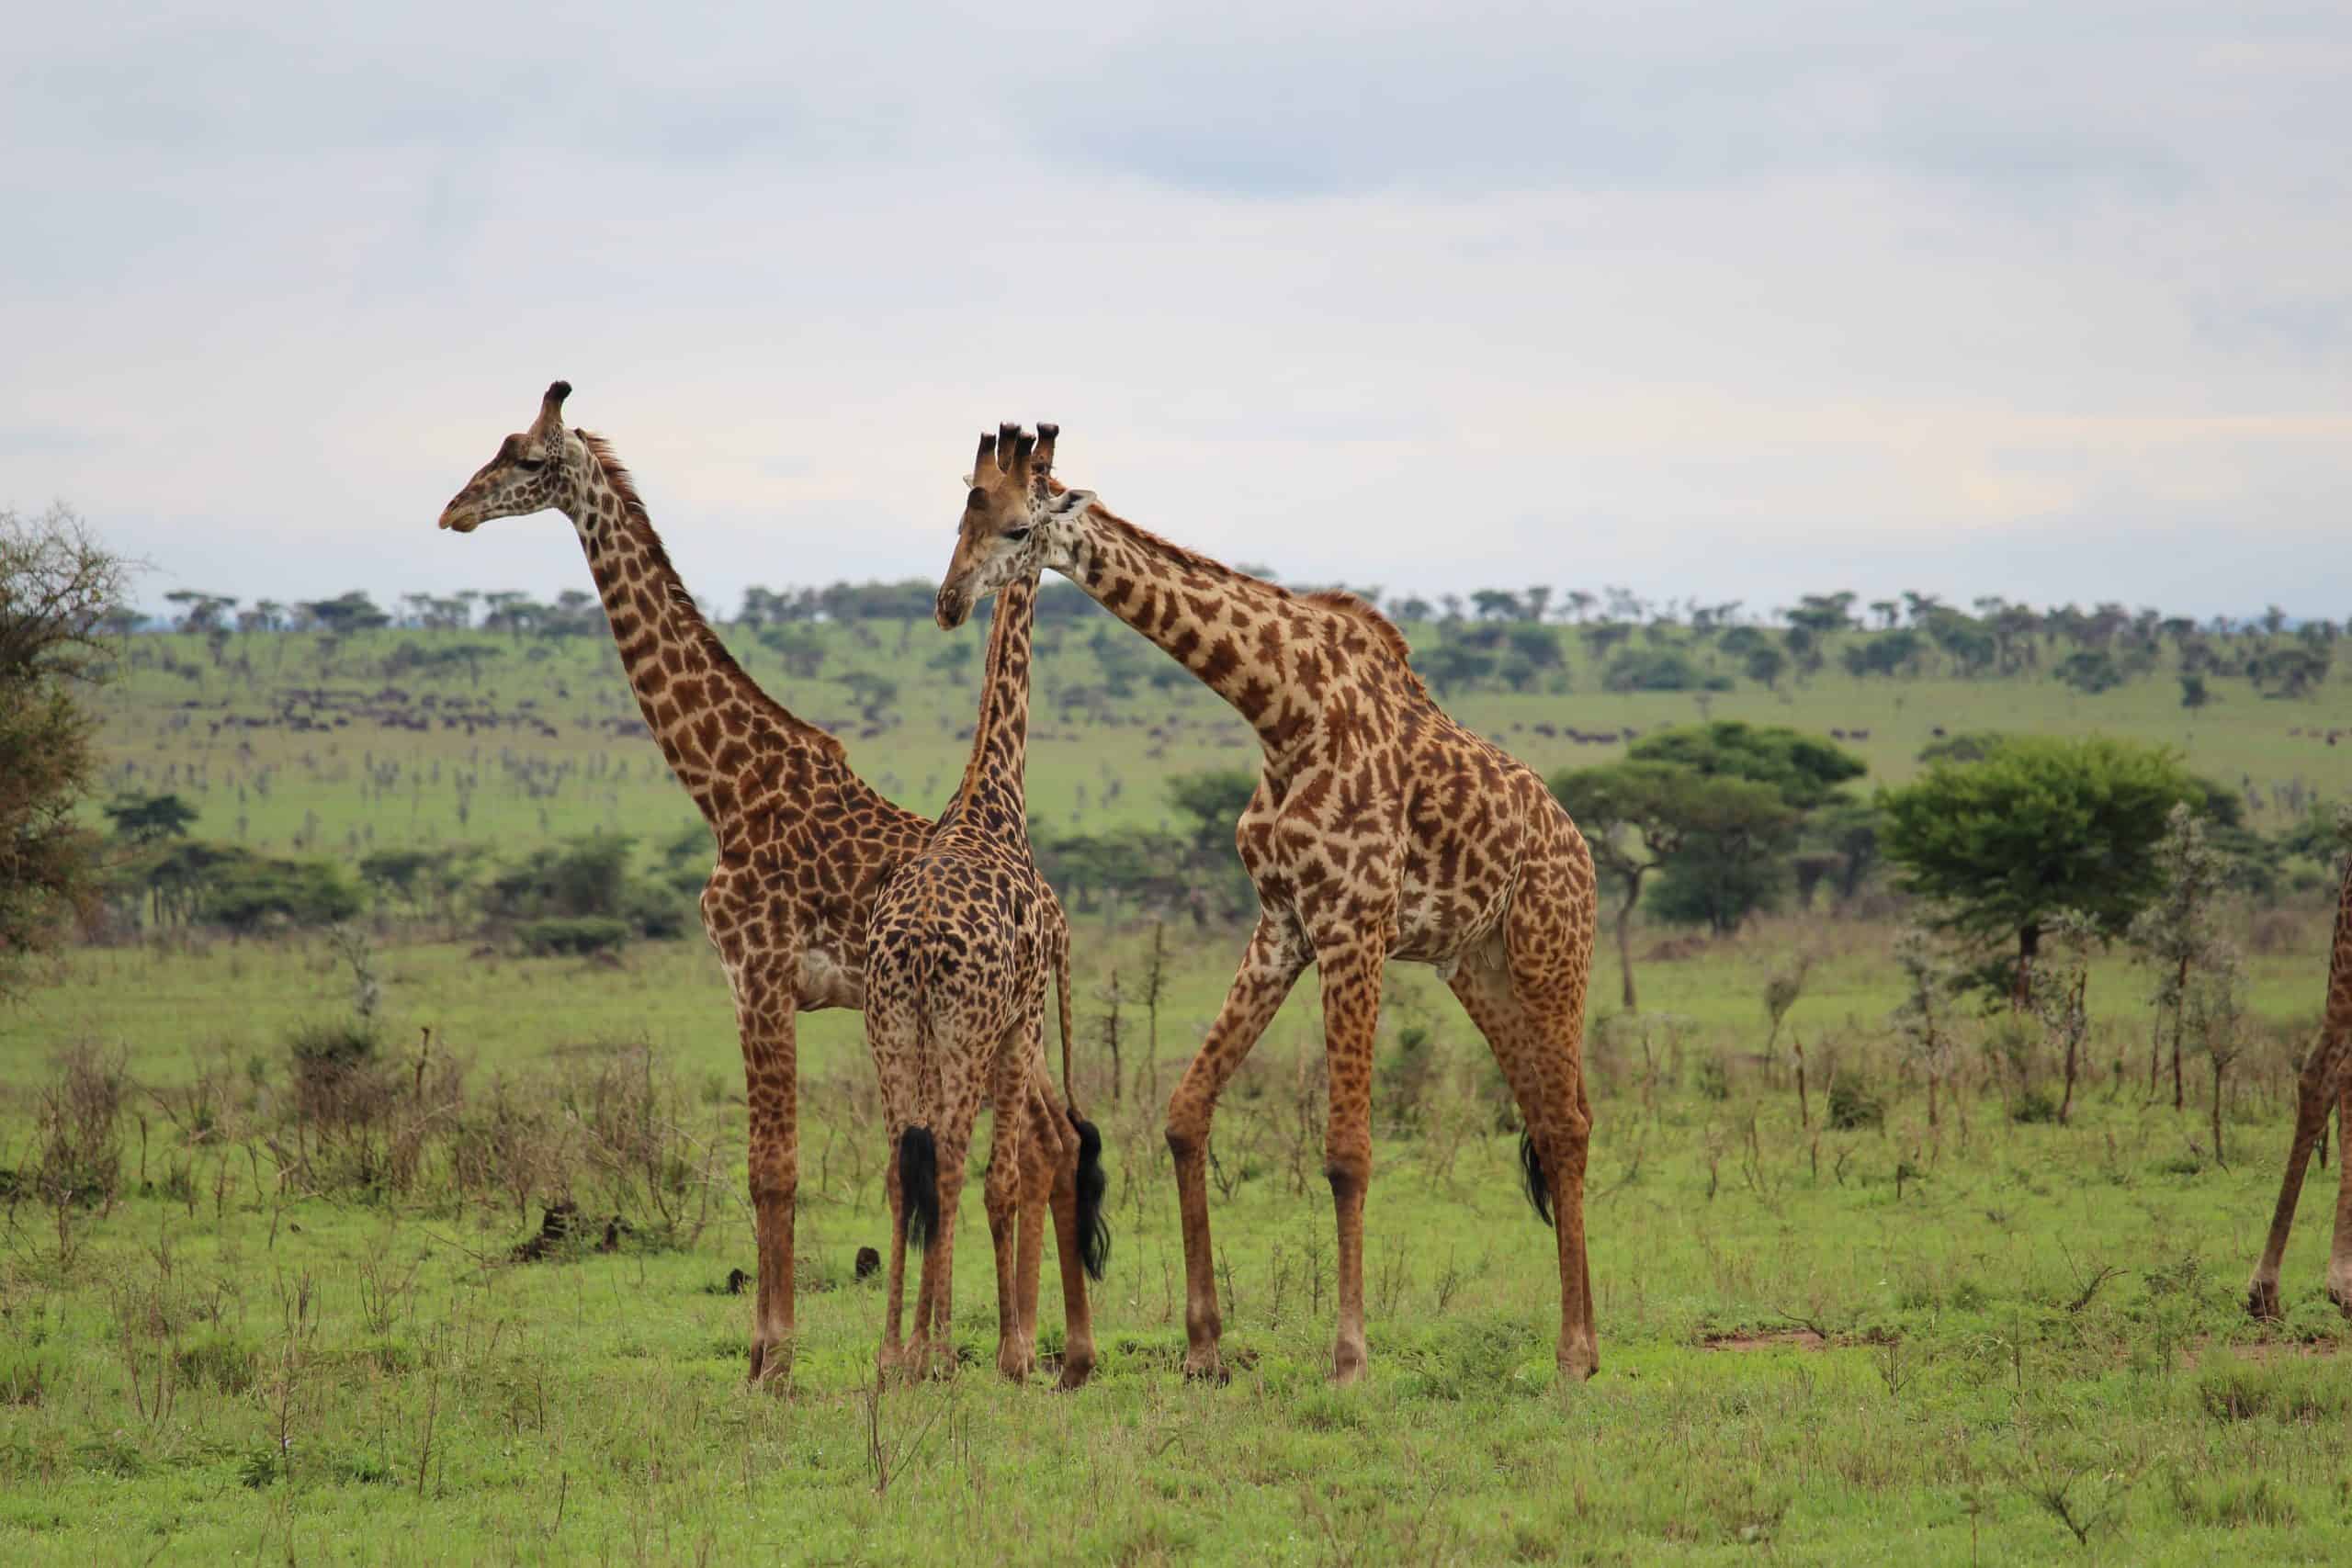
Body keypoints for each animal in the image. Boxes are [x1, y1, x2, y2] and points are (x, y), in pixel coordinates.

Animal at [435, 382, 1081, 1383]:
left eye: (530, 460)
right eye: (497, 448)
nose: (456, 510)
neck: (726, 786)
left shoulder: (761, 976)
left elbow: (773, 1169)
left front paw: (771, 1358)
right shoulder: (756, 986)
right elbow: (776, 1168)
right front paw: (777, 1351)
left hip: (998, 1019)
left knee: (1036, 1146)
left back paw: (1017, 1348)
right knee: (1048, 1144)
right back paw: (1035, 1348)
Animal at [865, 425, 1108, 1385]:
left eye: (1000, 517)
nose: (946, 603)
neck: (993, 793)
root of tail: (918, 950)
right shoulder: (1022, 1020)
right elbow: (1002, 1178)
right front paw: (1008, 1349)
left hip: (891, 1029)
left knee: (905, 1164)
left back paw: (892, 1352)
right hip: (964, 1031)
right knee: (956, 1161)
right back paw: (933, 1351)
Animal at [934, 423, 1602, 1386]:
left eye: (1020, 527)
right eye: (961, 515)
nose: (948, 602)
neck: (1282, 708)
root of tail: (1578, 845)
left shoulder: (1354, 926)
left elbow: (1348, 1152)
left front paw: (1350, 1357)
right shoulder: (1283, 923)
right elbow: (1185, 1112)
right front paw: (1204, 1345)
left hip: (1553, 952)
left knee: (1574, 1124)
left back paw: (1578, 1351)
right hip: (1479, 968)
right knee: (1550, 1121)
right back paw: (1574, 1348)